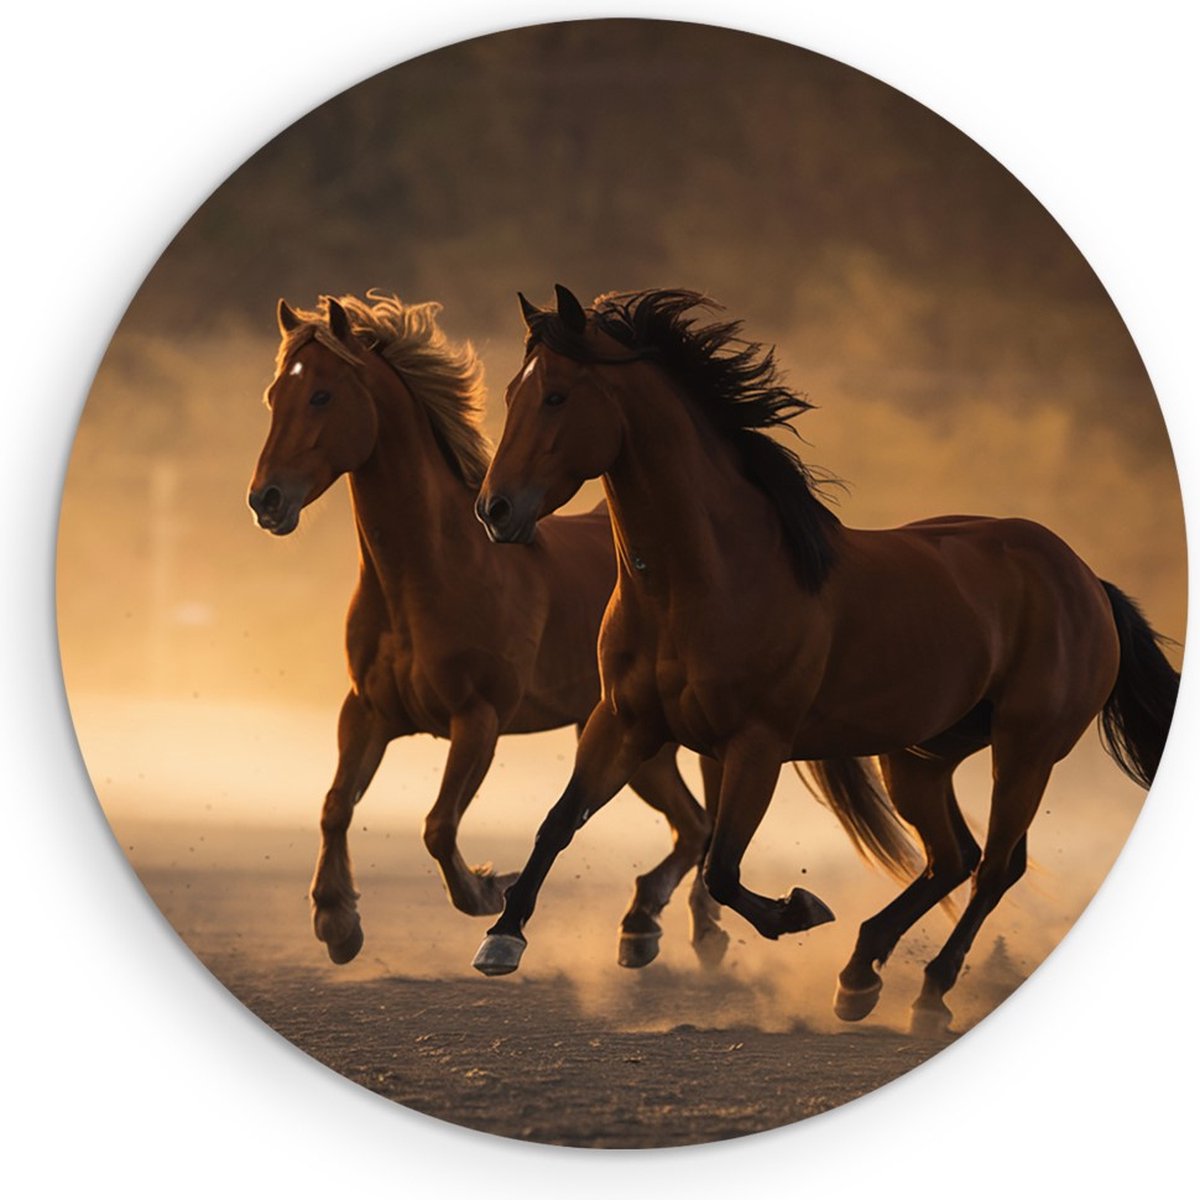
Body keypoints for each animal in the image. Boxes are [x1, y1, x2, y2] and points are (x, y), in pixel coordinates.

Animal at [247, 291, 727, 968]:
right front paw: (337, 923)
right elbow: (336, 805)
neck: (432, 573)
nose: (266, 501)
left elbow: (438, 826)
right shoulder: (367, 710)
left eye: (321, 395)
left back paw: (693, 931)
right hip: (633, 742)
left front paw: (488, 890)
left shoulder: (477, 719)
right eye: (274, 396)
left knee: (705, 826)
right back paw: (646, 927)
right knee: (693, 826)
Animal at [471, 285, 1179, 1030]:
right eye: (514, 391)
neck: (709, 579)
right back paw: (860, 973)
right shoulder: (624, 722)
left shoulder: (756, 744)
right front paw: (502, 939)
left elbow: (723, 868)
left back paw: (929, 993)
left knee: (994, 868)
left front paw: (799, 909)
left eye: (556, 395)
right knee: (953, 858)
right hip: (920, 756)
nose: (495, 510)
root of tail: (1086, 580)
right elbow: (559, 822)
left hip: (1027, 749)